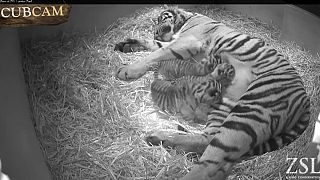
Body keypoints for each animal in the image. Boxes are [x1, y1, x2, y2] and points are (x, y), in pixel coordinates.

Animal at [113, 6, 310, 179]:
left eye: (161, 19)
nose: (154, 32)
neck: (187, 19)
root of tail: (306, 101)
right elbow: (156, 45)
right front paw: (127, 44)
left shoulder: (187, 41)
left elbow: (157, 52)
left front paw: (127, 70)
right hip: (226, 104)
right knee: (208, 138)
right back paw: (161, 137)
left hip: (251, 109)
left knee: (212, 160)